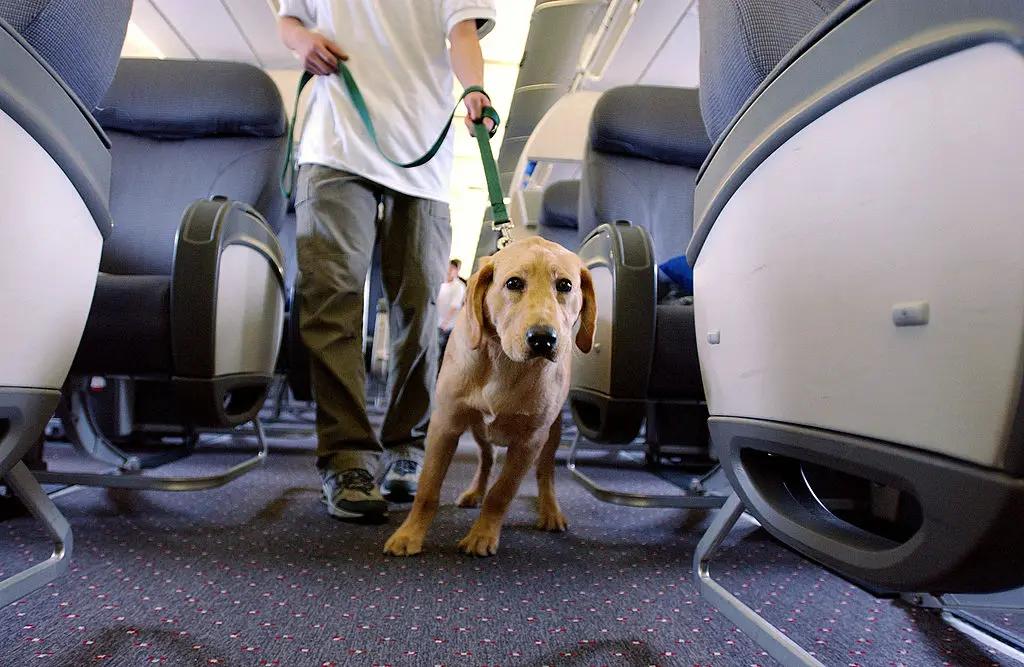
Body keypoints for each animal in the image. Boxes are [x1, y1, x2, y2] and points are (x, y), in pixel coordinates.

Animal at [385, 237, 598, 557]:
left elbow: (502, 493)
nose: (543, 339)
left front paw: (482, 534)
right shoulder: (445, 425)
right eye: (513, 283)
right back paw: (475, 491)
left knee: (545, 473)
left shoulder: (530, 441)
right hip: (478, 429)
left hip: (553, 433)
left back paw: (550, 510)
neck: (504, 363)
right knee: (487, 459)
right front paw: (409, 534)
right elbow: (428, 489)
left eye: (565, 285)